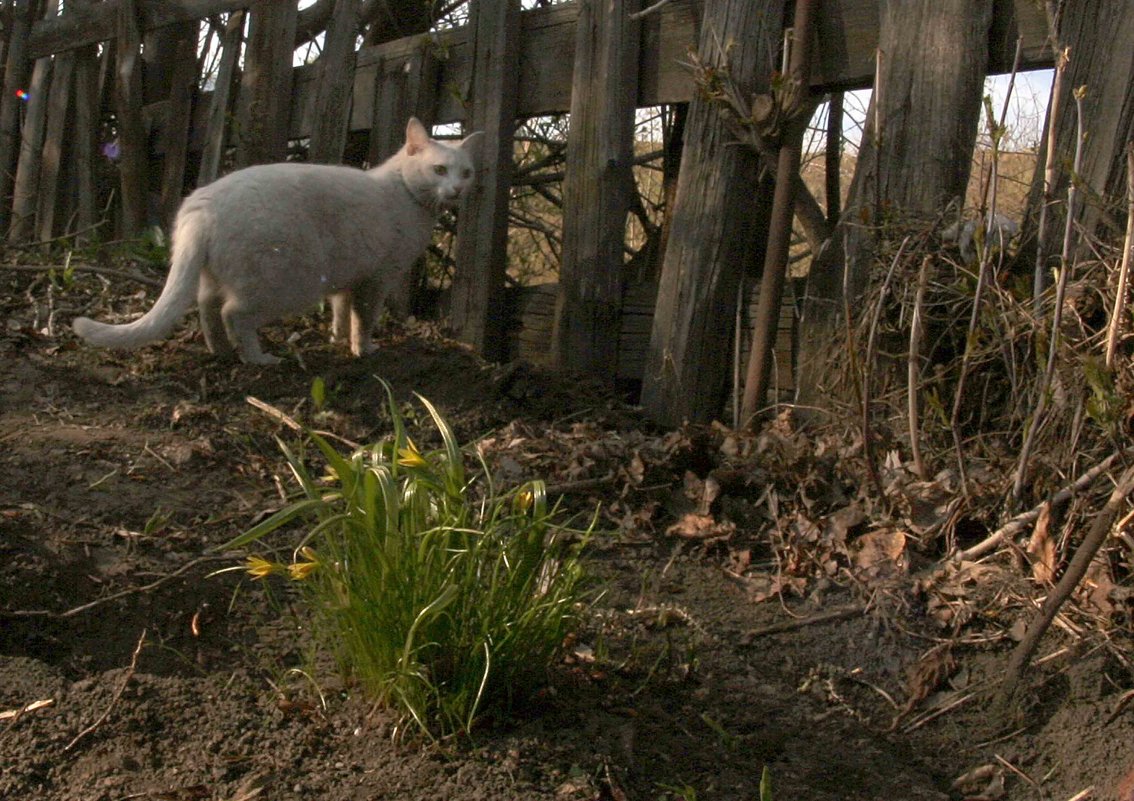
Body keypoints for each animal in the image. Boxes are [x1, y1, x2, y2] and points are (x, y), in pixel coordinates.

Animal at [70, 116, 478, 363]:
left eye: (467, 172)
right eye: (439, 170)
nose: (458, 190)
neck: (406, 194)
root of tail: (200, 208)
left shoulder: (346, 281)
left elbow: (340, 312)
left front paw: (336, 339)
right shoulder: (374, 281)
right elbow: (363, 320)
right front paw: (364, 350)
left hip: (218, 276)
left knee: (206, 308)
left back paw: (221, 351)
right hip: (283, 283)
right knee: (232, 314)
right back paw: (258, 359)